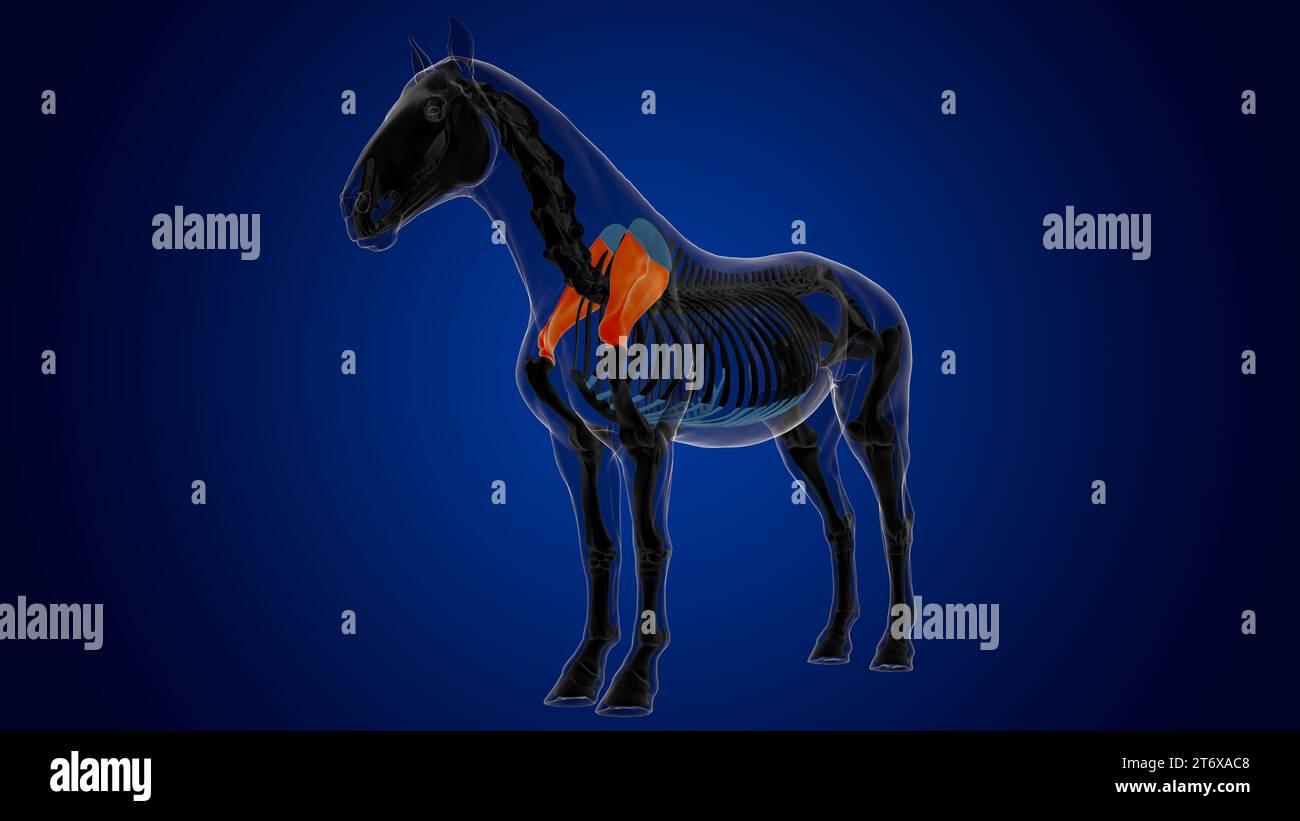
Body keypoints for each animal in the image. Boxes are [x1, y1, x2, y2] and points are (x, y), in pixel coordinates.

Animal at [340, 20, 916, 716]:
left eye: (432, 110)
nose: (357, 210)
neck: (592, 284)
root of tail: (871, 292)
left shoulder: (644, 441)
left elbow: (650, 546)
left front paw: (634, 682)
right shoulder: (574, 443)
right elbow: (599, 547)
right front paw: (580, 674)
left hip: (871, 421)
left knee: (894, 520)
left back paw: (894, 652)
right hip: (804, 433)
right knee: (841, 523)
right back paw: (832, 644)